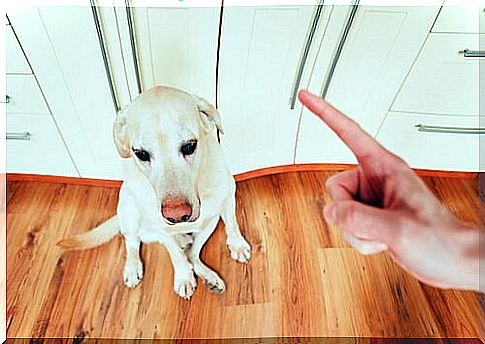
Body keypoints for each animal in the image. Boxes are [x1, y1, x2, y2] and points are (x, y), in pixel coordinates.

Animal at [58, 86, 251, 298]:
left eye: (189, 146)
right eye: (141, 154)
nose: (177, 215)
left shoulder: (227, 197)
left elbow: (232, 224)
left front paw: (237, 245)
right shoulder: (161, 228)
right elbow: (175, 255)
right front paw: (184, 277)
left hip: (210, 223)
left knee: (192, 253)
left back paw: (208, 276)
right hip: (129, 208)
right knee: (132, 242)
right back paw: (133, 267)